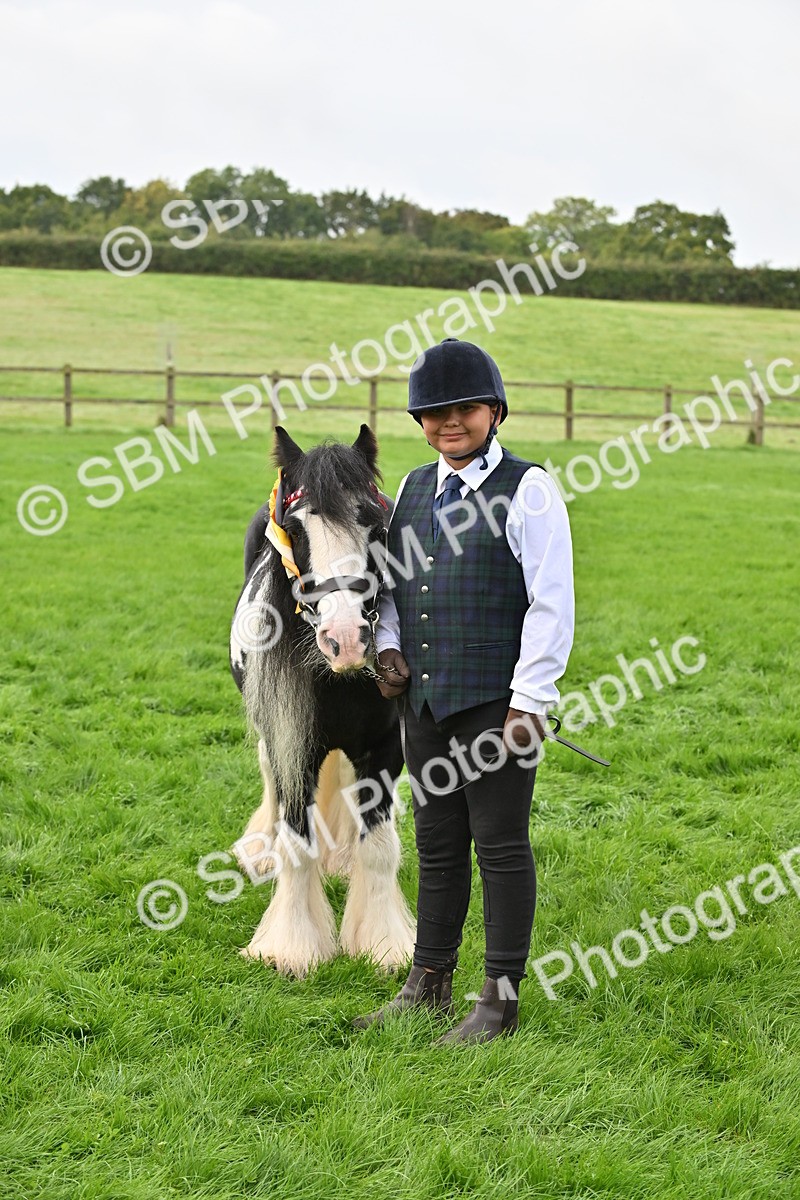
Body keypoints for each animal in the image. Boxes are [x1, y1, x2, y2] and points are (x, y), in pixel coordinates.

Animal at [229, 423, 415, 978]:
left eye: (374, 521)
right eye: (296, 528)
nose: (346, 639)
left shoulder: (383, 748)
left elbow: (379, 847)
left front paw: (384, 944)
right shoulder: (292, 744)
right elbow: (297, 843)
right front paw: (290, 946)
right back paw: (262, 850)